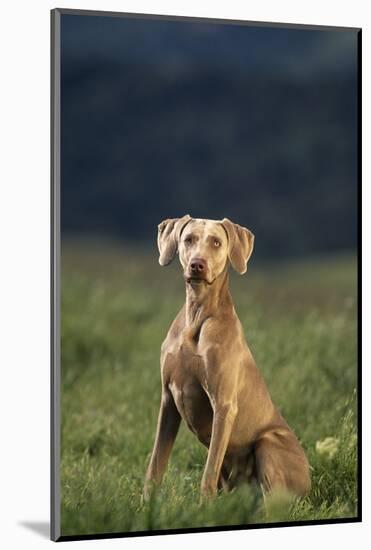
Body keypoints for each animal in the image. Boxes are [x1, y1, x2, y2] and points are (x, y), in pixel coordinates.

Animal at [145, 218, 310, 502]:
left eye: (216, 242)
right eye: (188, 239)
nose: (197, 265)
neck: (197, 315)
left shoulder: (223, 406)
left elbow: (208, 472)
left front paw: (204, 508)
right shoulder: (168, 401)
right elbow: (156, 464)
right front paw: (145, 505)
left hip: (269, 443)